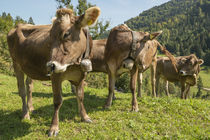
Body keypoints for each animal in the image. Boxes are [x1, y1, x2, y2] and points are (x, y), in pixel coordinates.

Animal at [6, 7, 100, 136]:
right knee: (22, 91)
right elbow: (57, 101)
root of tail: (17, 25)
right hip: (16, 64)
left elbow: (80, 96)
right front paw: (54, 128)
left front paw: (85, 117)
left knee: (29, 86)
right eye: (50, 36)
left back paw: (31, 108)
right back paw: (25, 114)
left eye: (66, 34)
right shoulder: (55, 76)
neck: (74, 65)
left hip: (29, 67)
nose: (50, 65)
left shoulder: (82, 75)